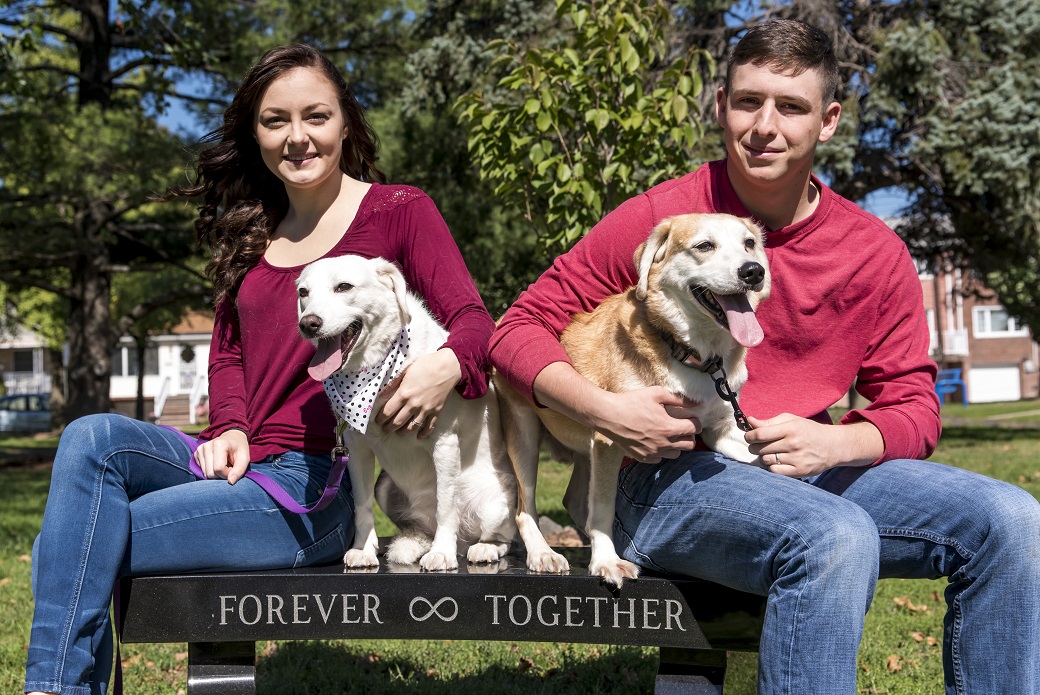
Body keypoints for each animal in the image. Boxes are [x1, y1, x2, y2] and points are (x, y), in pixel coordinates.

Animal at [297, 254, 515, 570]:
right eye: (304, 292)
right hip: (385, 487)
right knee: (425, 527)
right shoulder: (355, 447)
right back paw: (413, 544)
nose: (308, 324)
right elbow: (361, 506)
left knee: (501, 538)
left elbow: (446, 507)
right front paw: (364, 549)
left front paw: (442, 554)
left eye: (344, 287)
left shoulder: (444, 443)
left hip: (494, 503)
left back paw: (482, 548)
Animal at [495, 212, 773, 586]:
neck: (691, 353)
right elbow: (601, 509)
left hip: (586, 455)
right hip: (524, 434)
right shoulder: (611, 438)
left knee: (573, 500)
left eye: (749, 243)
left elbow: (766, 456)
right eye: (704, 245)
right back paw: (543, 554)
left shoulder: (723, 430)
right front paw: (606, 561)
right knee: (525, 510)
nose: (753, 271)